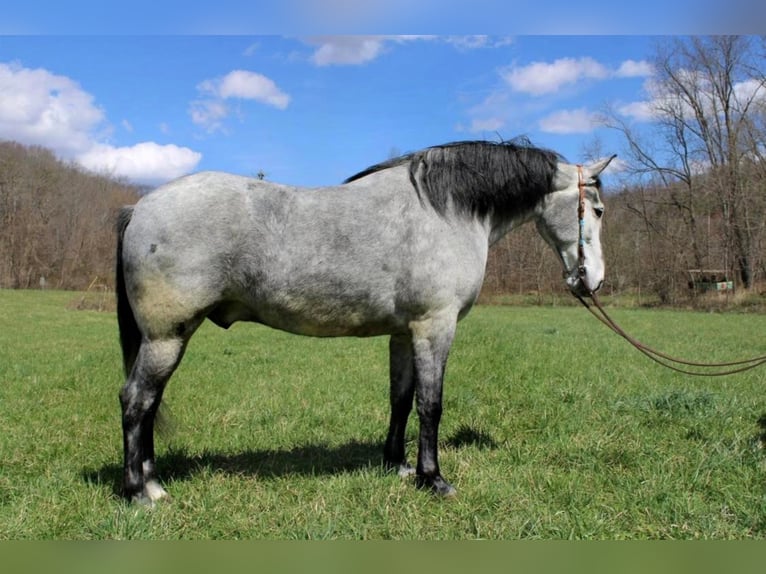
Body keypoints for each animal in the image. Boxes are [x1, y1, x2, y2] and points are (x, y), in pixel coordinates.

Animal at [115, 138, 616, 504]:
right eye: (597, 209)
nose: (593, 280)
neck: (446, 211)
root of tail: (139, 208)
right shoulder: (435, 327)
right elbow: (430, 404)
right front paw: (433, 479)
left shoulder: (404, 333)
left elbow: (401, 399)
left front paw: (398, 465)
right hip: (166, 336)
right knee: (137, 401)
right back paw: (140, 493)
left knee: (149, 404)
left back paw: (153, 482)